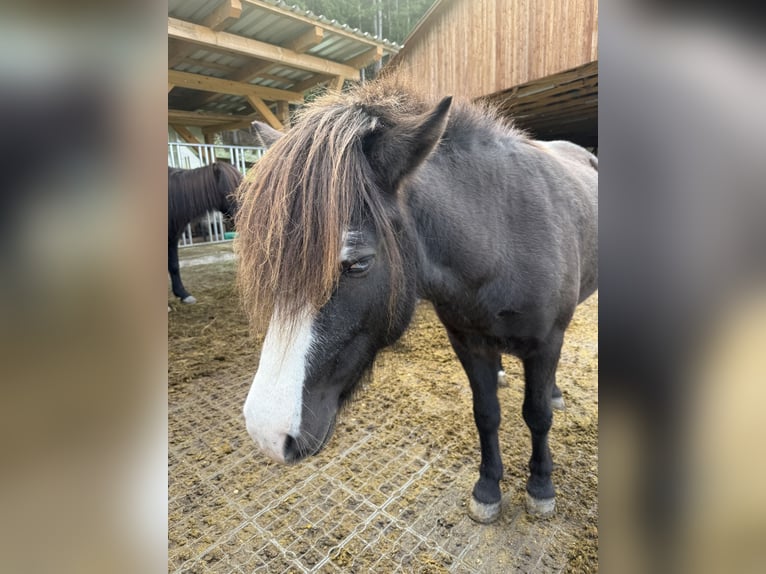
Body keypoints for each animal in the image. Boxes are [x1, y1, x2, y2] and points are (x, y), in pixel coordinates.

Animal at [235, 79, 597, 523]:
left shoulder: (545, 345)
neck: (503, 236)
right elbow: (486, 414)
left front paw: (541, 485)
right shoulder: (467, 342)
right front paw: (487, 489)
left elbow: (538, 415)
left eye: (358, 263)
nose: (267, 431)